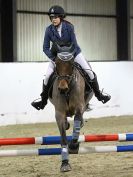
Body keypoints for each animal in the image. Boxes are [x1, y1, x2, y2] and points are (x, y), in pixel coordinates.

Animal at [48, 44, 93, 173]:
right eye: (56, 63)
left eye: (72, 64)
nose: (62, 88)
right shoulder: (59, 113)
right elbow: (63, 137)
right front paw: (65, 163)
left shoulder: (79, 107)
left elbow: (77, 121)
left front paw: (73, 145)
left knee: (80, 119)